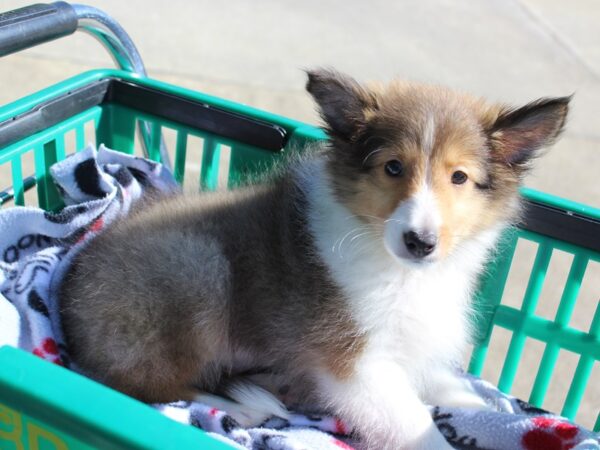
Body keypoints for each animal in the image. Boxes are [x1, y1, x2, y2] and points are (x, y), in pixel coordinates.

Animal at [58, 68, 568, 448]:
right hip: (196, 273)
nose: (420, 242)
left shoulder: (405, 344)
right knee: (148, 385)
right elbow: (413, 423)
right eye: (393, 167)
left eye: (459, 177)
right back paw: (245, 404)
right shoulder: (350, 364)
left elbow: (444, 384)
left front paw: (487, 411)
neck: (398, 269)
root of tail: (68, 298)